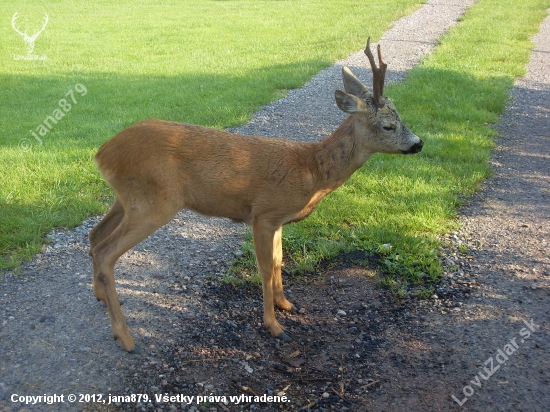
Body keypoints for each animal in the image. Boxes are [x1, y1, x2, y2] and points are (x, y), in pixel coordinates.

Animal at [90, 38, 424, 352]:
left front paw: (286, 305)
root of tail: (102, 153)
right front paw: (274, 326)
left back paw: (100, 296)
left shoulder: (278, 221)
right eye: (388, 125)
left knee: (95, 236)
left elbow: (278, 262)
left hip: (127, 198)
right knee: (107, 251)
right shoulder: (264, 214)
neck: (312, 172)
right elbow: (264, 269)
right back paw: (126, 337)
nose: (419, 143)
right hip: (154, 201)